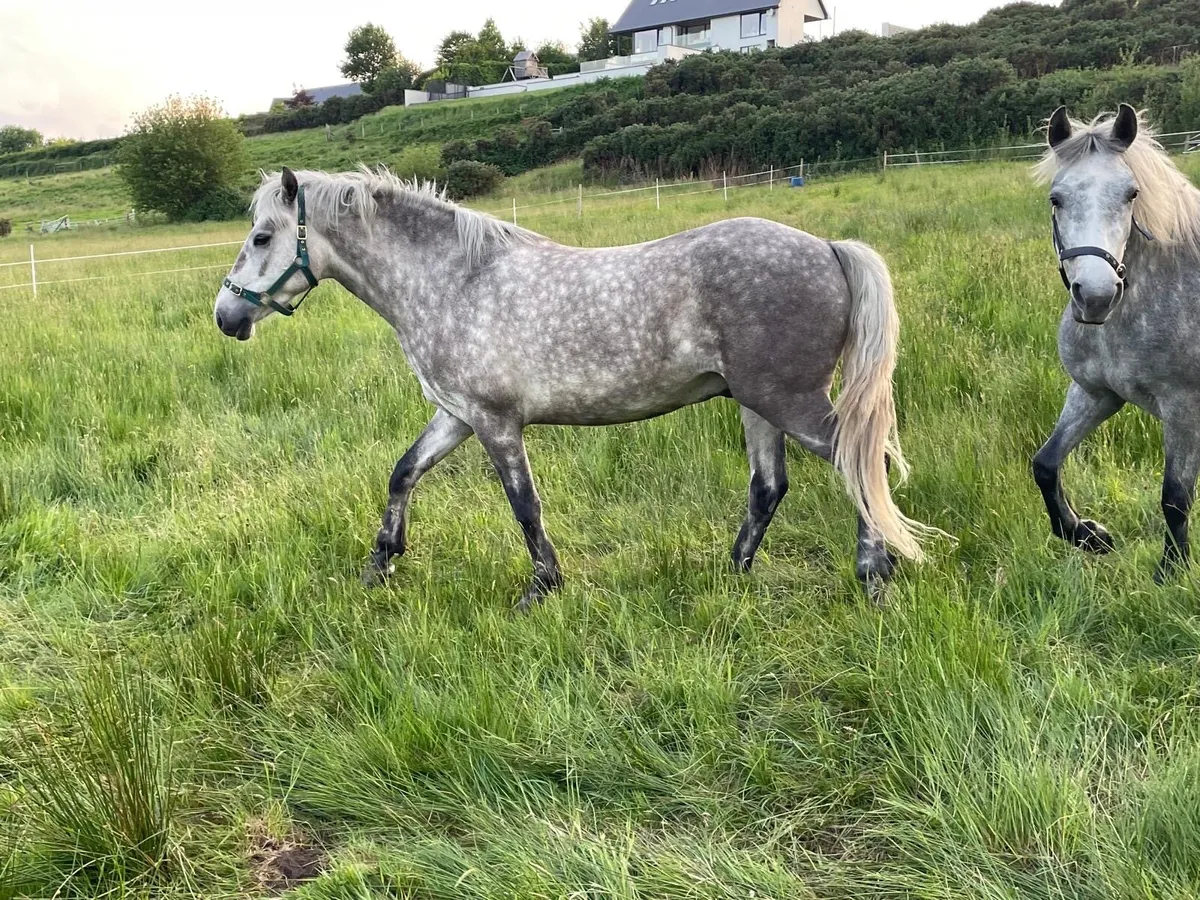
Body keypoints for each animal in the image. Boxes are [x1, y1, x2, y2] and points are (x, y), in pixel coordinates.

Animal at [213, 166, 934, 609]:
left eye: (262, 236)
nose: (226, 316)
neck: (456, 279)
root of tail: (830, 248)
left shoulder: (495, 422)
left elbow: (524, 506)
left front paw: (542, 588)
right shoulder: (456, 415)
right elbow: (402, 473)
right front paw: (381, 565)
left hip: (788, 400)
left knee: (859, 460)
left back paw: (873, 575)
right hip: (757, 404)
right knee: (769, 487)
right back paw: (731, 574)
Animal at [1033, 104, 1200, 582]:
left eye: (1131, 194)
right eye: (1056, 198)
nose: (1095, 296)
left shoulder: (1183, 408)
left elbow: (1175, 497)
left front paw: (1171, 572)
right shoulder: (1096, 393)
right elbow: (1045, 464)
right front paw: (1088, 535)